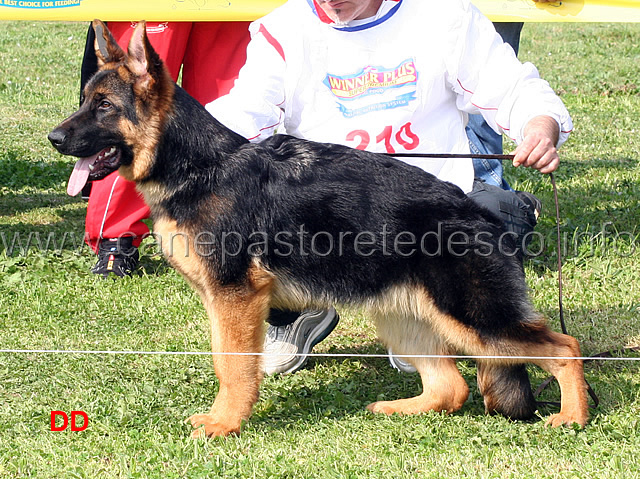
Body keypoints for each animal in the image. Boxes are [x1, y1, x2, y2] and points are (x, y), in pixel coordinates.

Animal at [48, 20, 592, 436]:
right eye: (85, 100)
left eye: (104, 107)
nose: (53, 137)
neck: (201, 166)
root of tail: (481, 215)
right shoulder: (224, 301)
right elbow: (226, 360)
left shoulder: (235, 299)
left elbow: (233, 366)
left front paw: (225, 424)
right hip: (406, 316)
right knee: (450, 387)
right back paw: (401, 409)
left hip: (475, 320)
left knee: (565, 348)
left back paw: (572, 418)